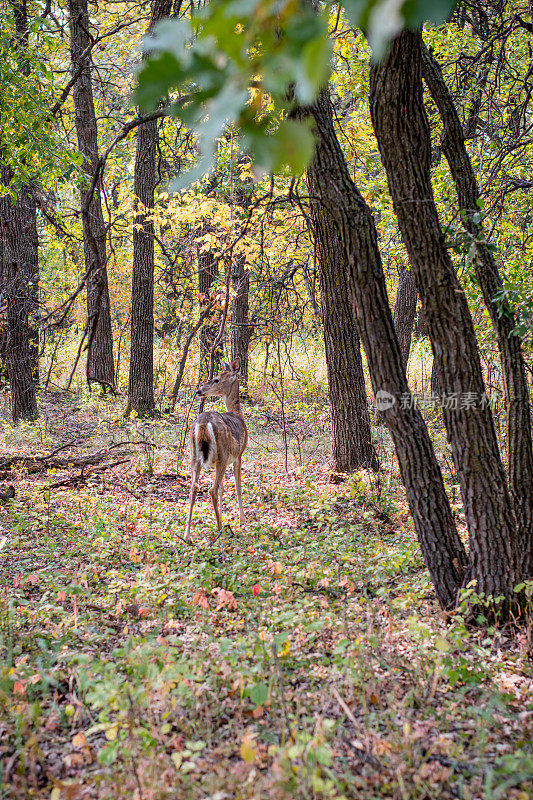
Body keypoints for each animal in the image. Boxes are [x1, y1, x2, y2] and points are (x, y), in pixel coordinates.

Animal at [185, 360, 247, 540]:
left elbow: (223, 488)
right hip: (222, 454)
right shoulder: (238, 454)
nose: (199, 391)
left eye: (216, 379)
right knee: (212, 489)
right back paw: (221, 529)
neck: (238, 414)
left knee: (194, 488)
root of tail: (203, 424)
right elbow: (237, 486)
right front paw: (241, 520)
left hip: (194, 455)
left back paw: (187, 535)